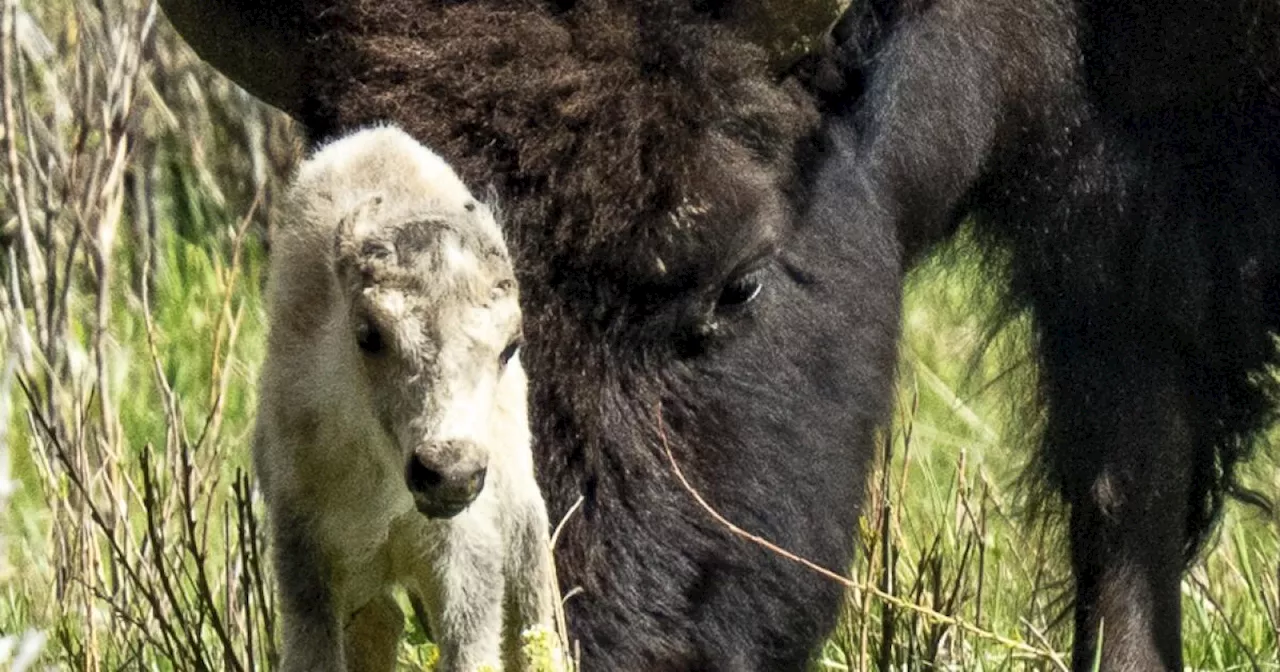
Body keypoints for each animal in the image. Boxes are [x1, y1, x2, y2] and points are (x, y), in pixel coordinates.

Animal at [257, 125, 558, 670]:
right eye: (369, 334)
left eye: (510, 345)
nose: (450, 474)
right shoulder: (306, 557)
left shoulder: (465, 564)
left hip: (525, 534)